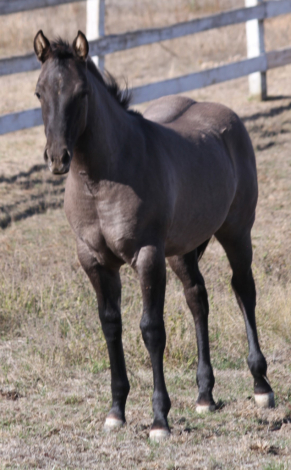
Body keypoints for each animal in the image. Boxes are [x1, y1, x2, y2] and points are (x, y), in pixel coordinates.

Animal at [34, 30, 276, 440]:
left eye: (81, 93)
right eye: (39, 92)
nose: (57, 158)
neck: (102, 179)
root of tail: (228, 116)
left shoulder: (146, 255)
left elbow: (151, 330)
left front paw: (159, 419)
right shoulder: (94, 261)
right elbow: (110, 326)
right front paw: (116, 411)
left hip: (236, 232)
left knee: (244, 291)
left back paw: (261, 386)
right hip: (180, 250)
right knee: (197, 299)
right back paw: (204, 395)